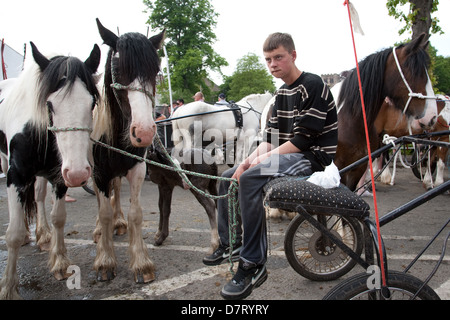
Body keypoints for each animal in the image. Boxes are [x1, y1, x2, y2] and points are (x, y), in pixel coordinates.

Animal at [0, 41, 99, 298]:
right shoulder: (16, 176)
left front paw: (60, 261)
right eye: (50, 104)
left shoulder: (59, 176)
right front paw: (8, 287)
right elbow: (13, 234)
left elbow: (58, 218)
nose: (79, 173)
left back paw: (42, 235)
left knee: (38, 196)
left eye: (92, 103)